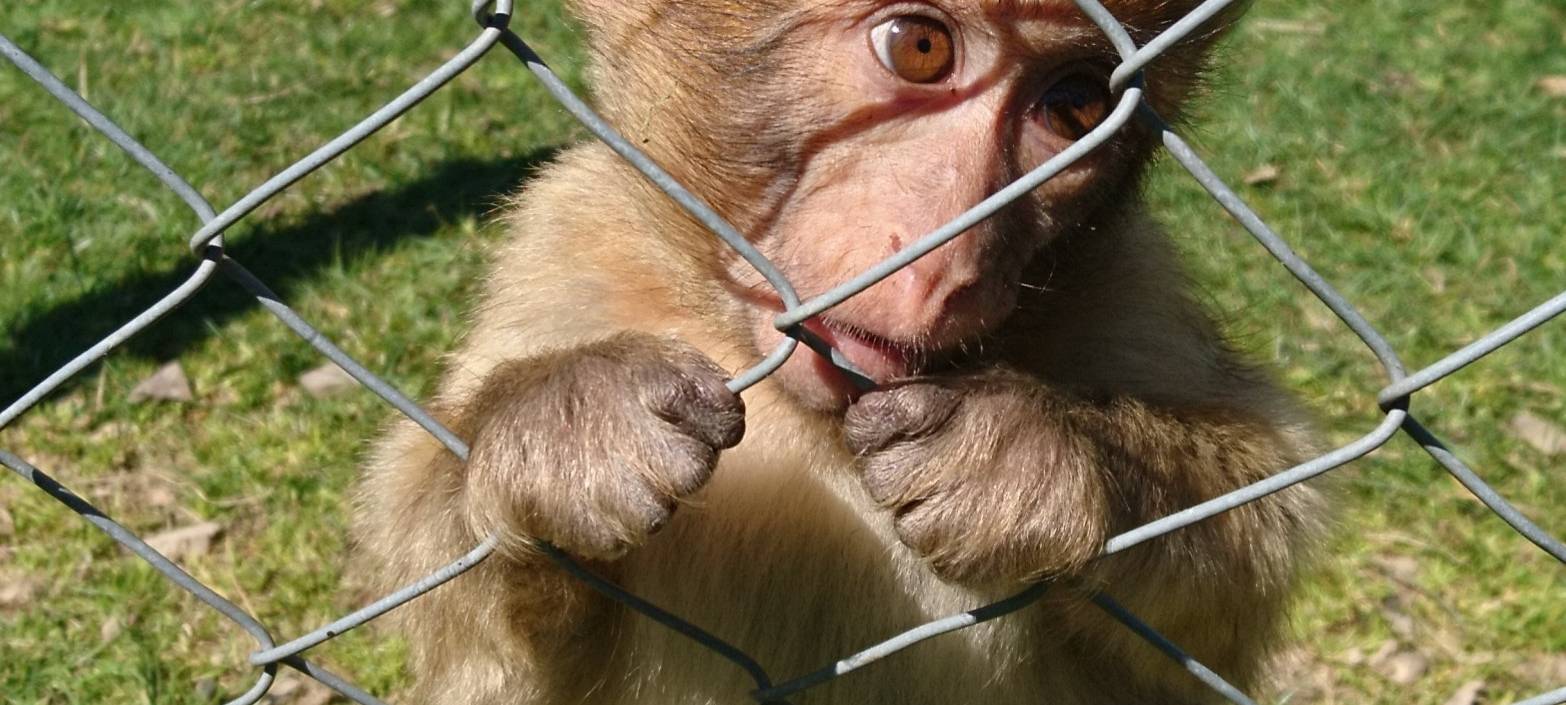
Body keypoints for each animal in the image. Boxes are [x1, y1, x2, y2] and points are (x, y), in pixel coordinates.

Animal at [354, 1, 1323, 704]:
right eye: (919, 47)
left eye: (1077, 103)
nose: (946, 261)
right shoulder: (564, 248)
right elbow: (497, 669)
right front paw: (569, 426)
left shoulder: (1131, 282)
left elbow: (1262, 526)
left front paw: (1022, 456)